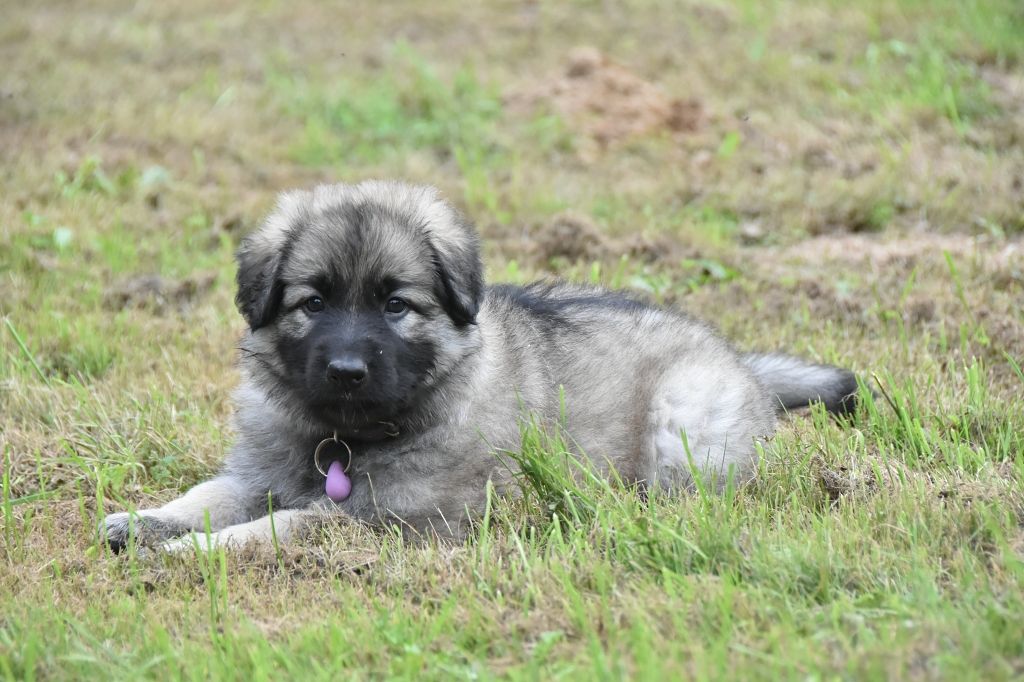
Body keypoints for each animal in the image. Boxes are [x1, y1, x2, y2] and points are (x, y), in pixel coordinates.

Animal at [104, 180, 859, 551]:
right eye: (312, 302)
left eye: (396, 305)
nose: (346, 369)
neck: (343, 436)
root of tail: (738, 361)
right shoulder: (258, 472)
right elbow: (209, 495)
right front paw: (146, 522)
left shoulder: (393, 517)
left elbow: (281, 525)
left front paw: (189, 554)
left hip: (683, 421)